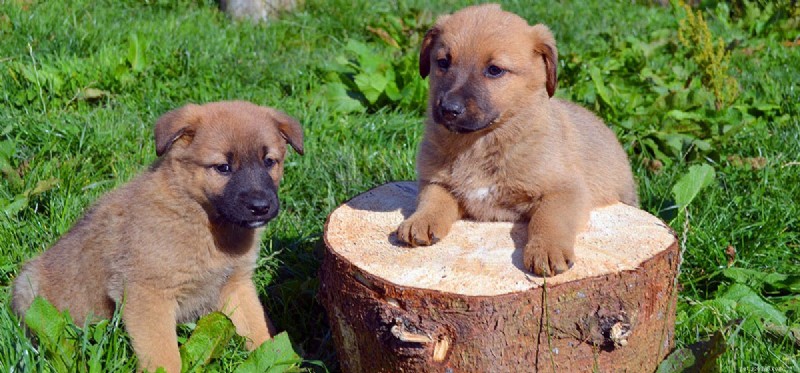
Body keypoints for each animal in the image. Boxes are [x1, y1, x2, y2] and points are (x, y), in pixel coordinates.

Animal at [10, 101, 304, 372]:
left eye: (269, 162)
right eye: (223, 167)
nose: (260, 206)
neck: (202, 219)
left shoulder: (236, 284)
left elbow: (259, 332)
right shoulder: (149, 294)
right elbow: (164, 355)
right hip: (29, 289)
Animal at [396, 3, 640, 276]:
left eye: (494, 70)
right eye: (443, 62)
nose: (449, 109)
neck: (480, 144)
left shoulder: (567, 191)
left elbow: (549, 218)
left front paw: (547, 250)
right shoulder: (435, 181)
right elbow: (432, 200)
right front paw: (420, 222)